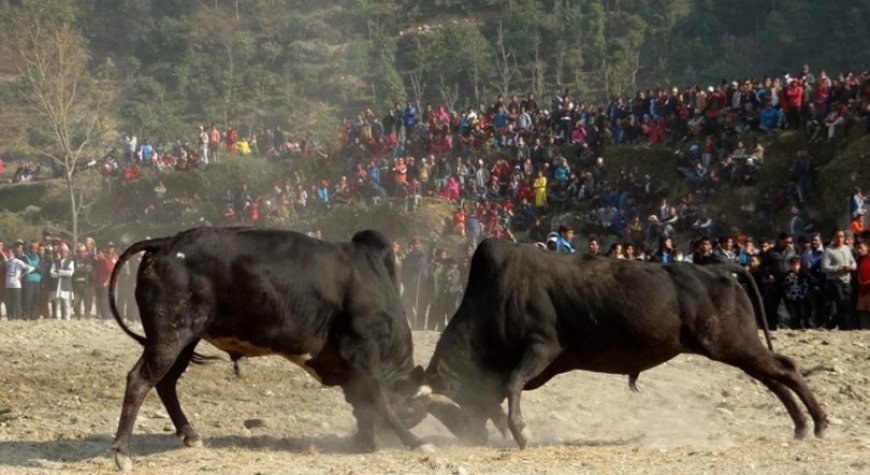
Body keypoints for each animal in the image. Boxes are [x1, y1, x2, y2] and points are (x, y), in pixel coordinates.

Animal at [109, 228, 436, 472]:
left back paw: (189, 434)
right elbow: (381, 400)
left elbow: (366, 400)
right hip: (170, 336)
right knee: (139, 380)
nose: (373, 442)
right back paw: (123, 453)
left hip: (185, 341)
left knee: (165, 383)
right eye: (412, 412)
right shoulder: (364, 352)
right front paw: (415, 441)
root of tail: (165, 243)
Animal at [422, 240, 832, 448]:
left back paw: (819, 422)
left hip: (731, 343)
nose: (472, 437)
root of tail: (717, 269)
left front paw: (521, 431)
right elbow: (509, 388)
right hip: (737, 345)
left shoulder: (542, 347)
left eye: (456, 402)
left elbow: (512, 384)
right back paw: (801, 426)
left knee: (784, 368)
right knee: (774, 375)